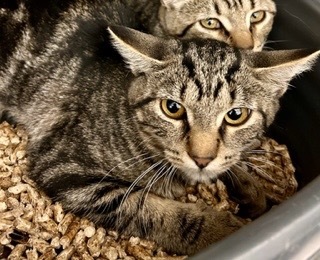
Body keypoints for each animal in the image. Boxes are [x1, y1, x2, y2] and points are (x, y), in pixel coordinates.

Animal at [0, 0, 320, 256]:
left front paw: (250, 187)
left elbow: (231, 161)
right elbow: (153, 211)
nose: (201, 158)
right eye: (172, 108)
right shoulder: (66, 167)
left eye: (236, 115)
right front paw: (224, 229)